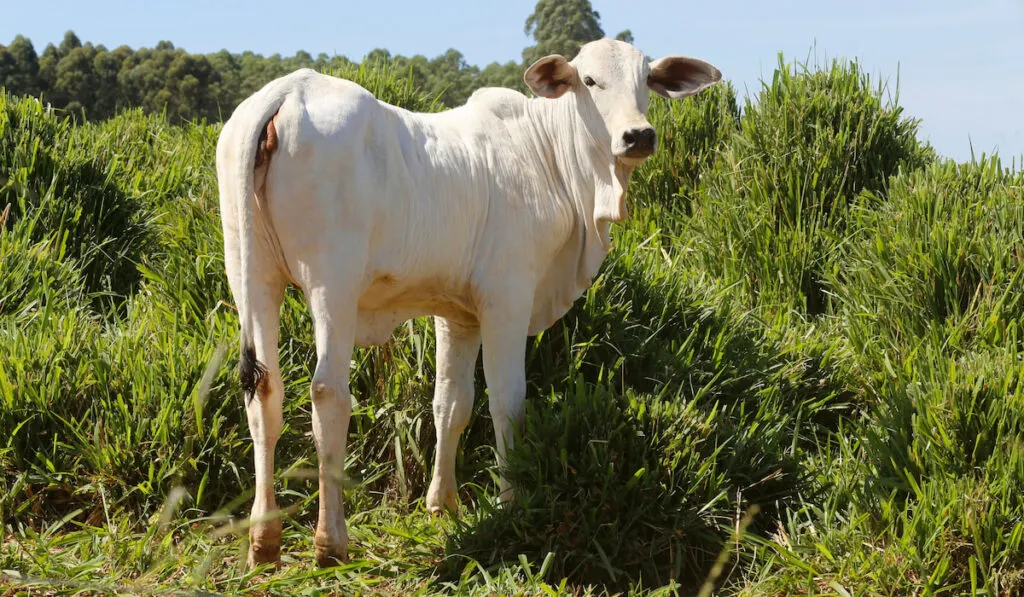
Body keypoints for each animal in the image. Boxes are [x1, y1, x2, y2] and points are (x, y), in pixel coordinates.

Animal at [216, 37, 720, 565]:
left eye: (646, 81)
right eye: (589, 80)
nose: (638, 136)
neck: (550, 157)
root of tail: (289, 90)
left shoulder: (457, 316)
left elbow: (451, 403)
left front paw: (442, 504)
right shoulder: (506, 299)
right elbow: (506, 401)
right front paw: (512, 500)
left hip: (251, 275)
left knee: (264, 392)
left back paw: (264, 540)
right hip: (331, 284)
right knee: (328, 393)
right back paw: (331, 541)